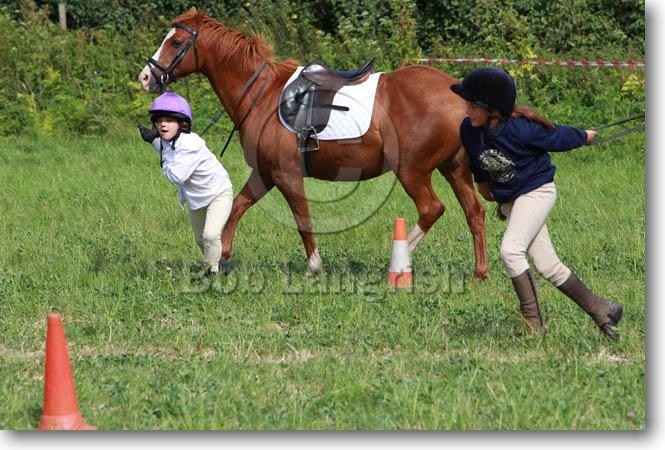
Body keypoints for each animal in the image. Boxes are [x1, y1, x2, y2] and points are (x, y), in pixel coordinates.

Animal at [139, 7, 489, 279]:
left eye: (176, 42)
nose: (145, 77)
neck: (263, 96)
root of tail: (457, 93)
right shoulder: (264, 174)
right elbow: (237, 208)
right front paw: (222, 258)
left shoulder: (286, 175)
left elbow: (302, 218)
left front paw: (314, 266)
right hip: (453, 168)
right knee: (474, 212)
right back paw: (479, 273)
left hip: (412, 170)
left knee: (432, 209)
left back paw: (400, 261)